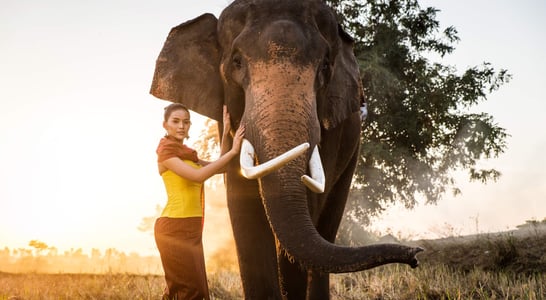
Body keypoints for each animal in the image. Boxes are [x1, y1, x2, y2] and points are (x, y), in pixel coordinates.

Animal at [149, 1, 420, 298]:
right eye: (236, 62)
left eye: (325, 65)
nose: (416, 255)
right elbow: (242, 206)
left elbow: (310, 202)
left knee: (328, 223)